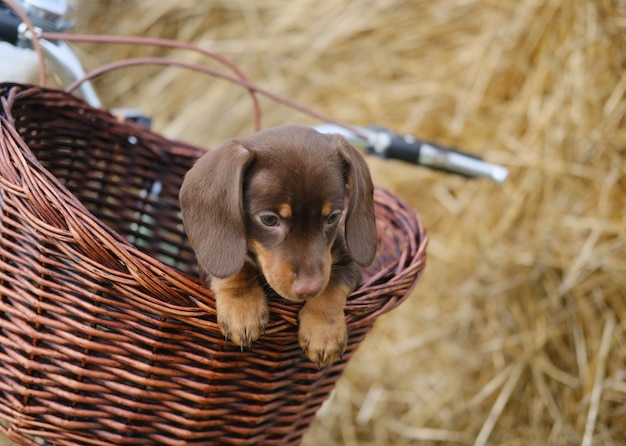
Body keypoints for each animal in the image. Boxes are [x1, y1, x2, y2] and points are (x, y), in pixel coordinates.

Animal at [178, 124, 378, 366]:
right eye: (269, 220)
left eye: (333, 217)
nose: (309, 288)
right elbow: (237, 268)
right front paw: (242, 308)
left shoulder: (350, 265)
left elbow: (334, 282)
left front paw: (324, 329)